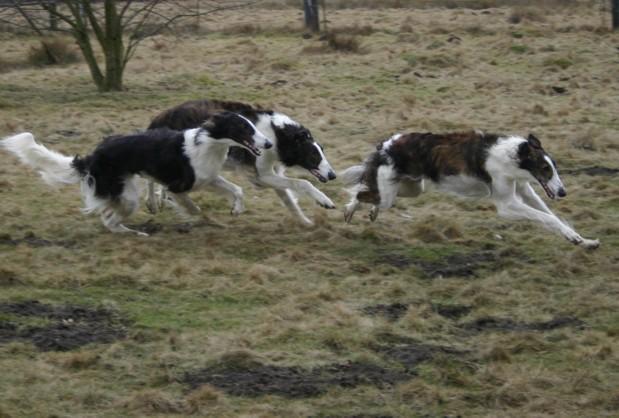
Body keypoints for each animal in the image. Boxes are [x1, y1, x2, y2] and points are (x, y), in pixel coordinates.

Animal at [1, 111, 272, 235]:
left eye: (252, 126)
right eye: (244, 128)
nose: (268, 144)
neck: (209, 144)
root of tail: (93, 156)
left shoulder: (208, 178)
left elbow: (237, 190)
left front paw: (236, 209)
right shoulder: (179, 186)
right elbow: (193, 207)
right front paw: (205, 218)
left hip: (125, 190)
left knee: (108, 216)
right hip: (127, 195)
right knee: (110, 220)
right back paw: (137, 233)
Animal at [145, 99, 337, 226]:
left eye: (322, 151)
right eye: (313, 156)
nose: (333, 175)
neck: (278, 136)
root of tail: (160, 116)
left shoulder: (270, 175)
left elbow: (290, 201)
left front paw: (305, 222)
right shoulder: (261, 177)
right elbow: (303, 183)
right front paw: (324, 201)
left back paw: (161, 199)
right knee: (149, 179)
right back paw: (153, 203)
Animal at [341, 130, 599, 249]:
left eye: (554, 167)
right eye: (545, 168)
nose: (563, 192)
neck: (512, 156)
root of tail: (386, 144)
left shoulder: (526, 191)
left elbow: (553, 217)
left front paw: (581, 239)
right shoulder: (507, 205)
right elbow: (547, 218)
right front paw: (577, 239)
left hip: (413, 187)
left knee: (370, 194)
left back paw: (369, 211)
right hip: (395, 190)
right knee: (361, 192)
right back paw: (351, 209)